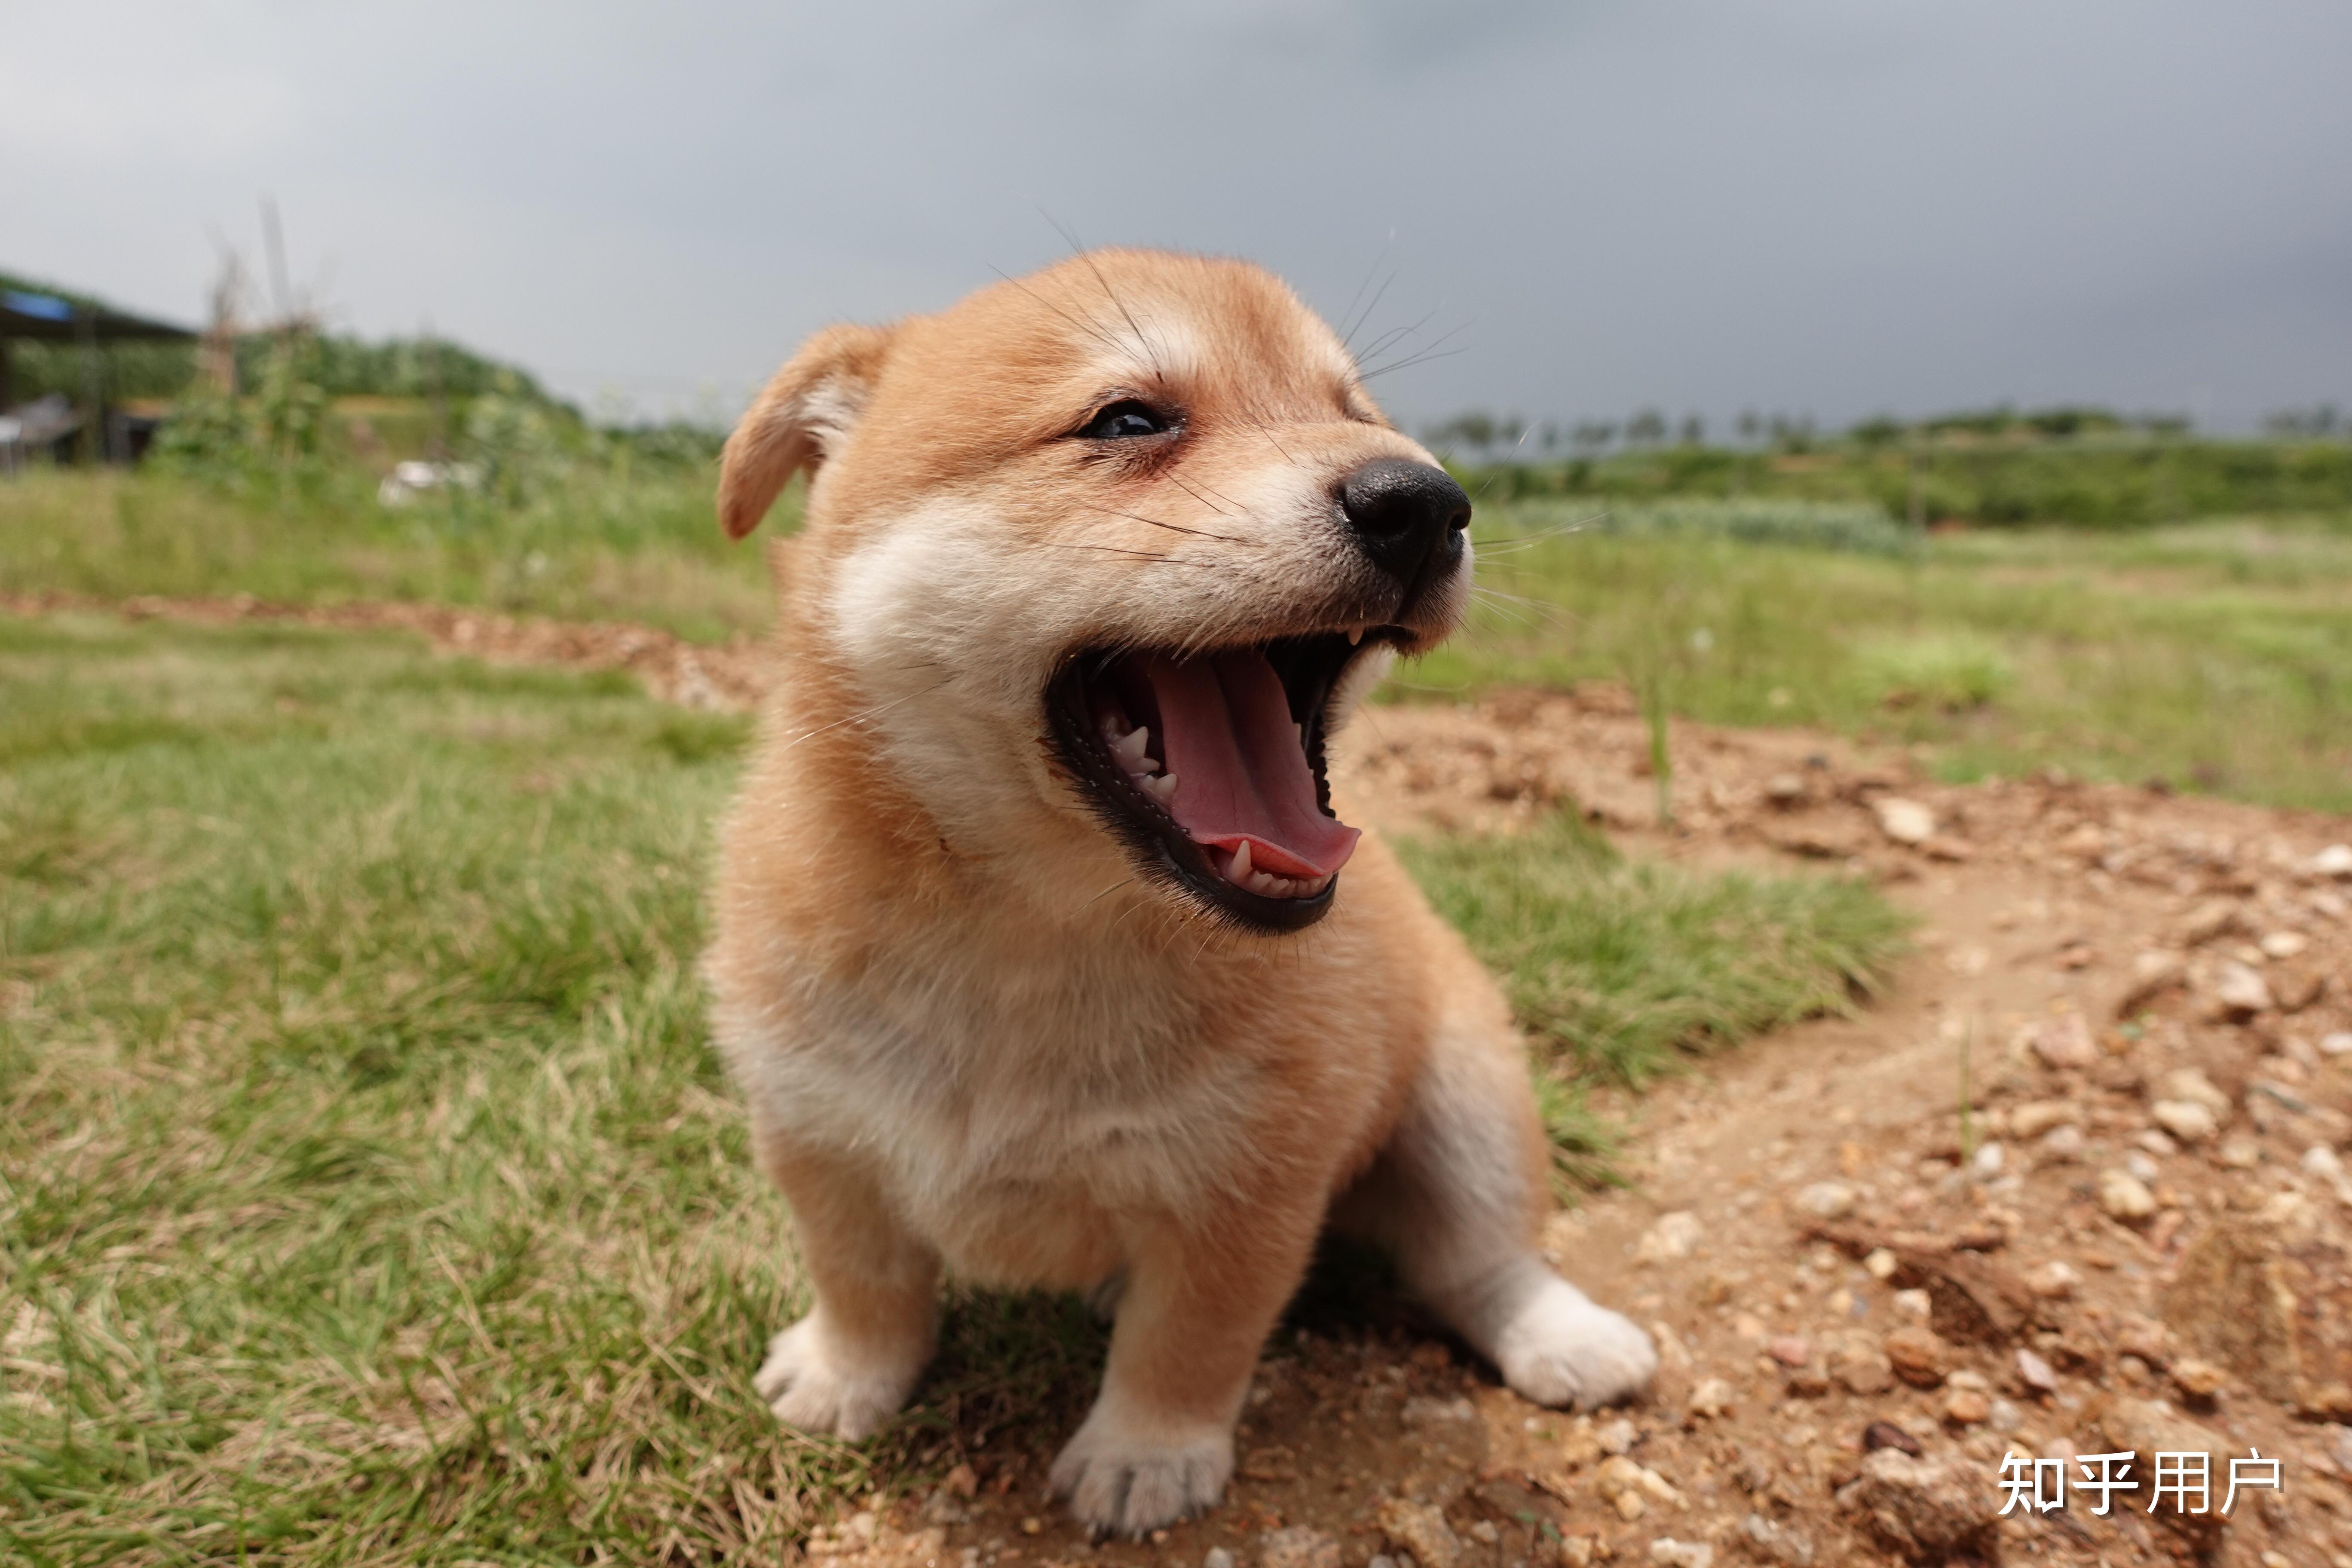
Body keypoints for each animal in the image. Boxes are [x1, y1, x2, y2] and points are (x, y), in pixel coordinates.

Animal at [701, 251, 1656, 1542]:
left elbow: (1192, 1336)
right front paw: (845, 1377)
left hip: (1468, 1102)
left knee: (1479, 1257)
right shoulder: (817, 1134)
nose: (1425, 501)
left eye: (1359, 415)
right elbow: (863, 1282)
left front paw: (1145, 1454)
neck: (1031, 936)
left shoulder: (1256, 1182)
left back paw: (1565, 1335)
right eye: (1128, 422)